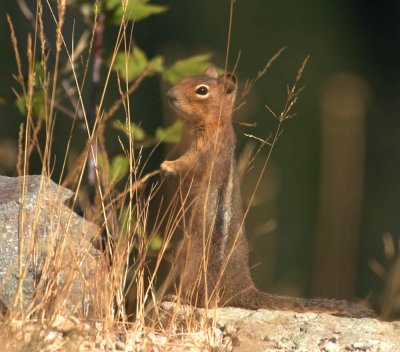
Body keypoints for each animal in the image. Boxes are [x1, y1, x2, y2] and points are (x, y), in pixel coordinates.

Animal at [159, 66, 376, 320]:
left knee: (206, 301)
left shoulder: (206, 151)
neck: (206, 123)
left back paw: (177, 298)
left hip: (195, 266)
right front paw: (163, 162)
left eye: (201, 90)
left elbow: (189, 163)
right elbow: (176, 152)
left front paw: (167, 166)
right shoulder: (182, 143)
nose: (170, 96)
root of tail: (244, 288)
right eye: (184, 79)